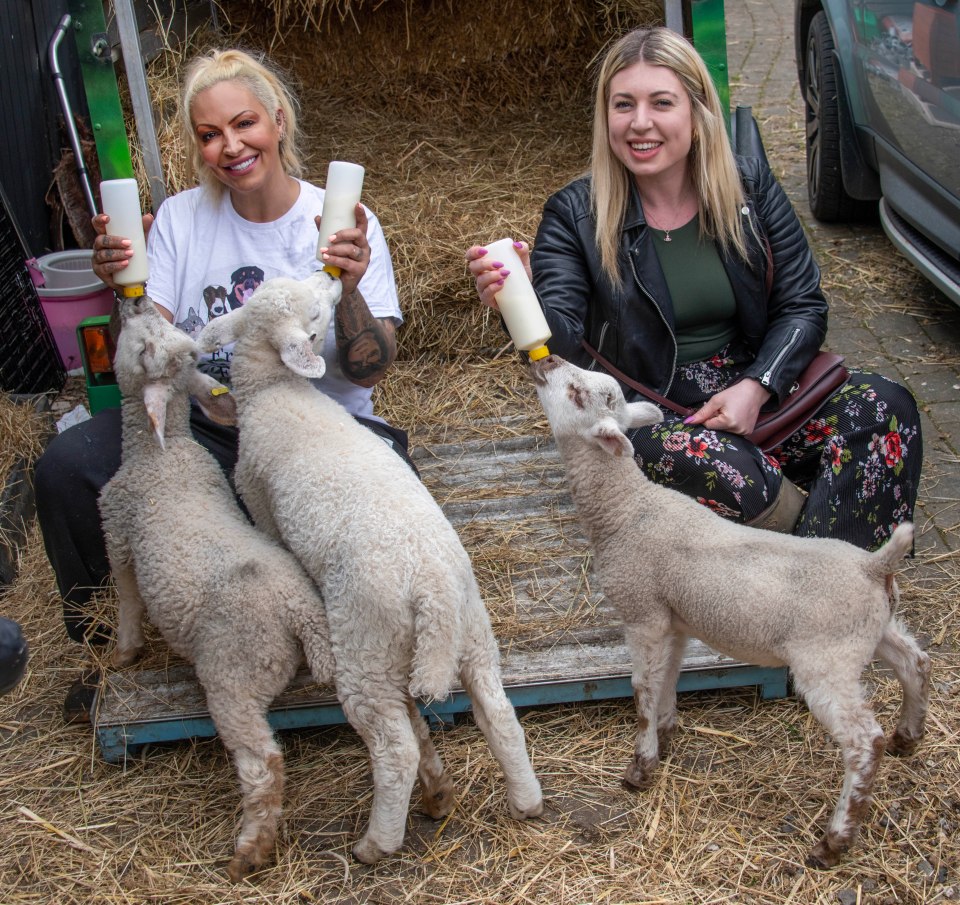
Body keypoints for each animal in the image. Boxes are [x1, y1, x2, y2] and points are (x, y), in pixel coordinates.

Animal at [100, 294, 338, 880]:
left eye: (144, 345)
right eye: (160, 340)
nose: (134, 301)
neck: (160, 453)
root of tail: (300, 613)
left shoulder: (116, 529)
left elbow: (128, 598)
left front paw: (125, 652)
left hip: (234, 676)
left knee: (262, 761)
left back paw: (250, 850)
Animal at [199, 268, 544, 860]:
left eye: (315, 309)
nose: (328, 271)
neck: (275, 391)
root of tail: (430, 586)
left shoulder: (259, 500)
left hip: (367, 648)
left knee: (395, 748)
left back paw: (376, 843)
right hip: (473, 631)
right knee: (498, 714)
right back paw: (526, 801)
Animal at [528, 354, 928, 868]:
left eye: (577, 394)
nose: (547, 361)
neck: (627, 508)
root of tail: (874, 564)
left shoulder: (642, 613)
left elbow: (642, 690)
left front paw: (640, 767)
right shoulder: (674, 620)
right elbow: (667, 679)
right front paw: (666, 733)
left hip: (826, 658)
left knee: (862, 741)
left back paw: (835, 839)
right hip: (871, 629)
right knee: (915, 662)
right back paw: (907, 737)